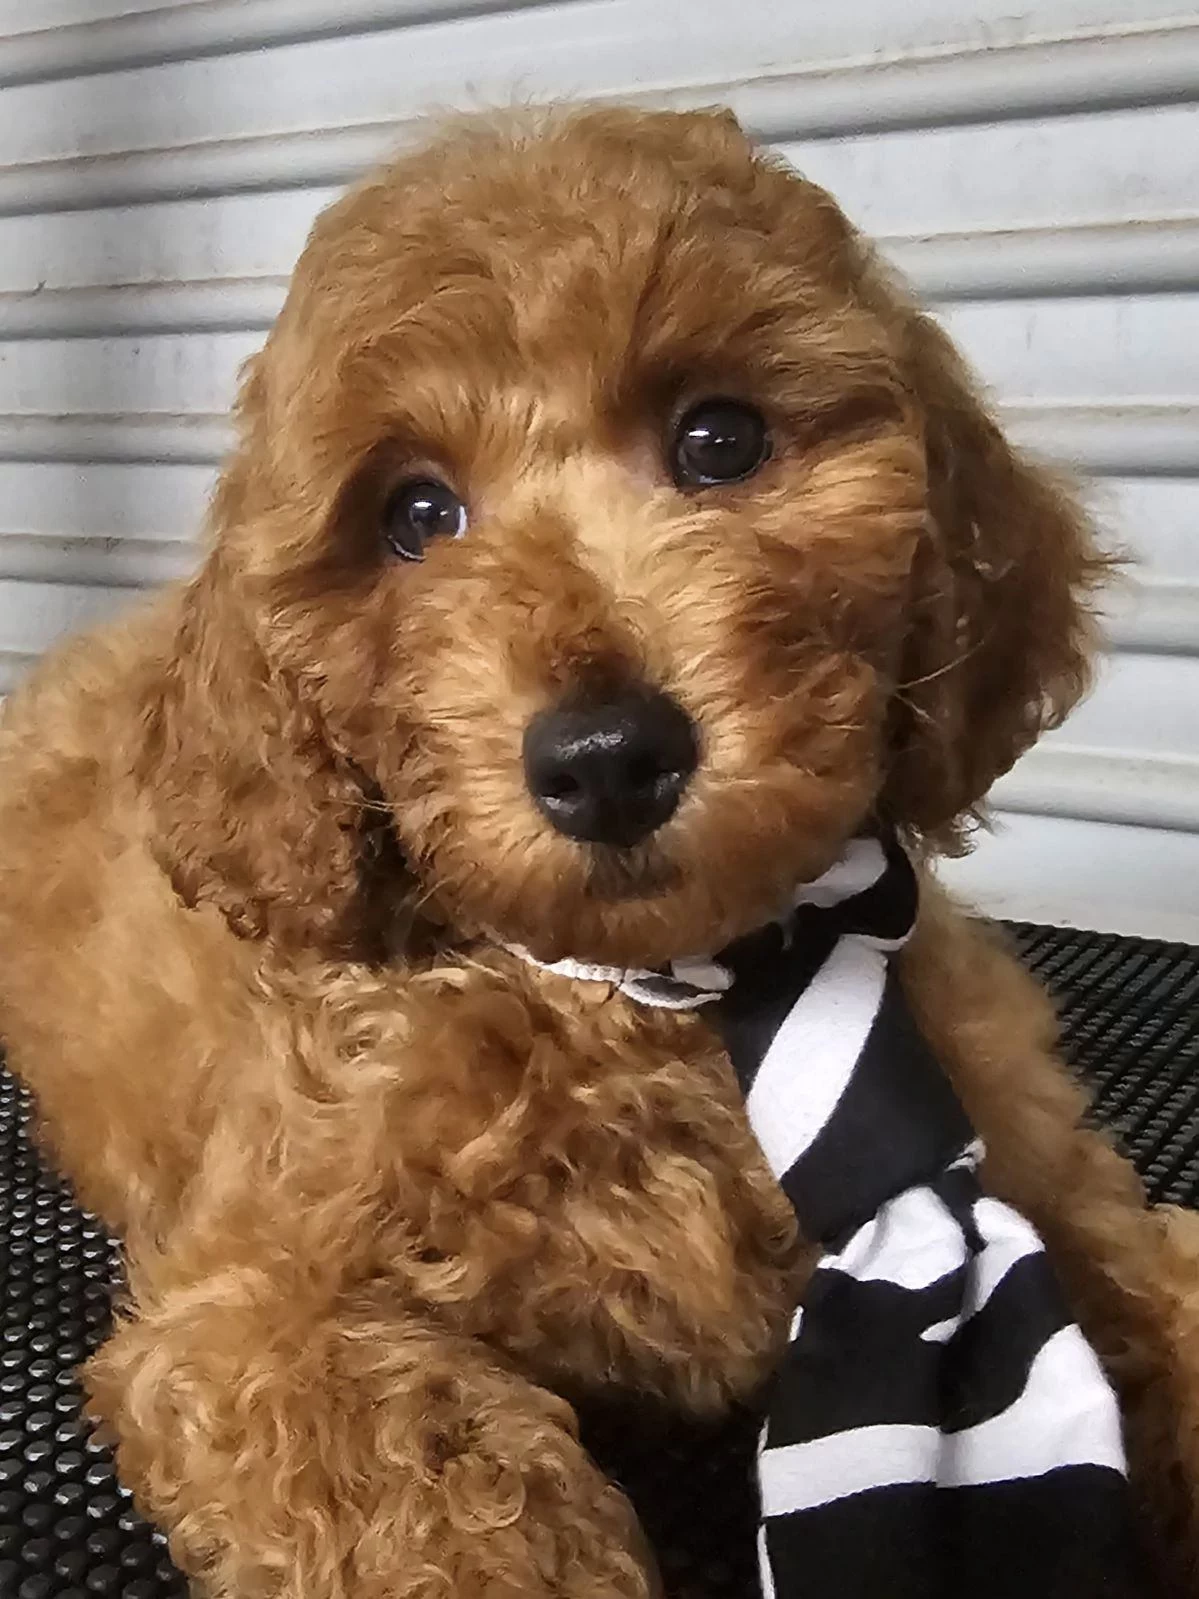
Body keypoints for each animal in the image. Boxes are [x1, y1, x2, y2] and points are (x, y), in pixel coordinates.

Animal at [1, 105, 1197, 1599]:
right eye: (412, 516)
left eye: (719, 438)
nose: (607, 755)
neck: (675, 991)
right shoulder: (247, 1308)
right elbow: (434, 1493)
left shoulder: (1051, 1175)